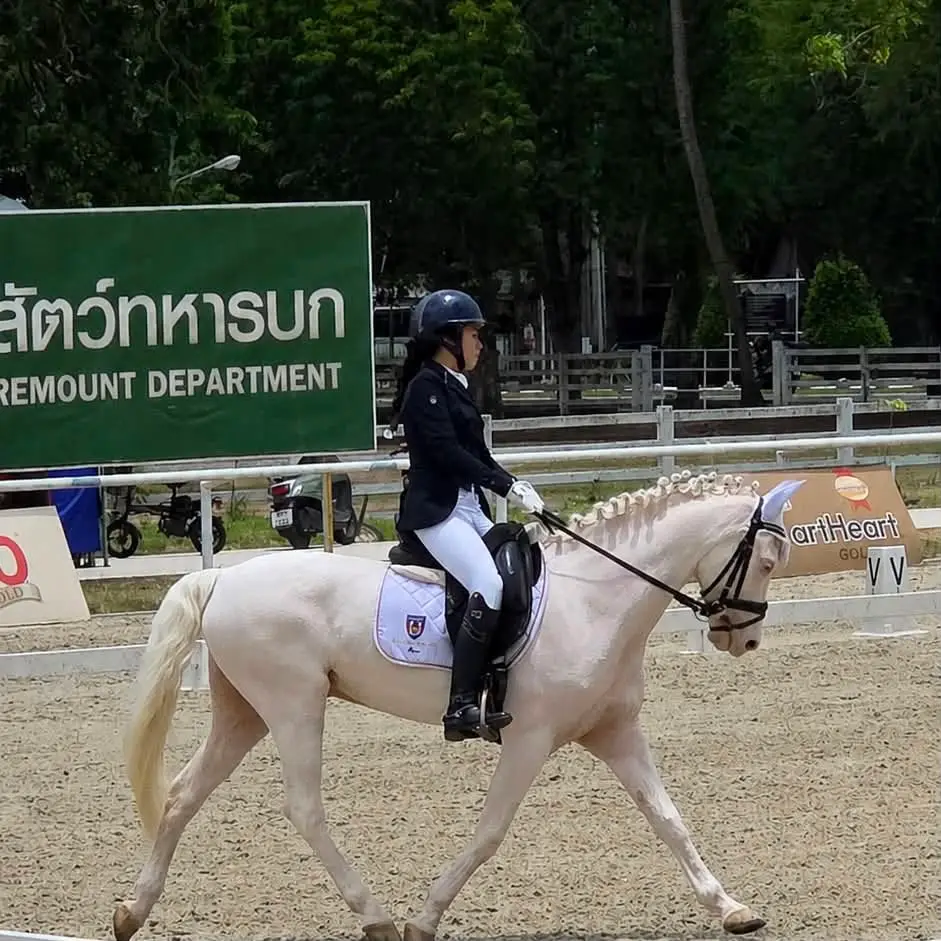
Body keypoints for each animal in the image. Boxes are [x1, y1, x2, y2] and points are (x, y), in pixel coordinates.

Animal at [113, 470, 804, 941]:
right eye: (769, 560)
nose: (743, 639)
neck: (595, 599)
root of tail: (222, 576)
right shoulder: (529, 739)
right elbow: (491, 831)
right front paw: (424, 918)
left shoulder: (615, 732)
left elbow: (668, 818)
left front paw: (731, 908)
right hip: (292, 706)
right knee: (304, 808)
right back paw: (377, 917)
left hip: (245, 712)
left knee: (182, 794)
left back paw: (131, 912)